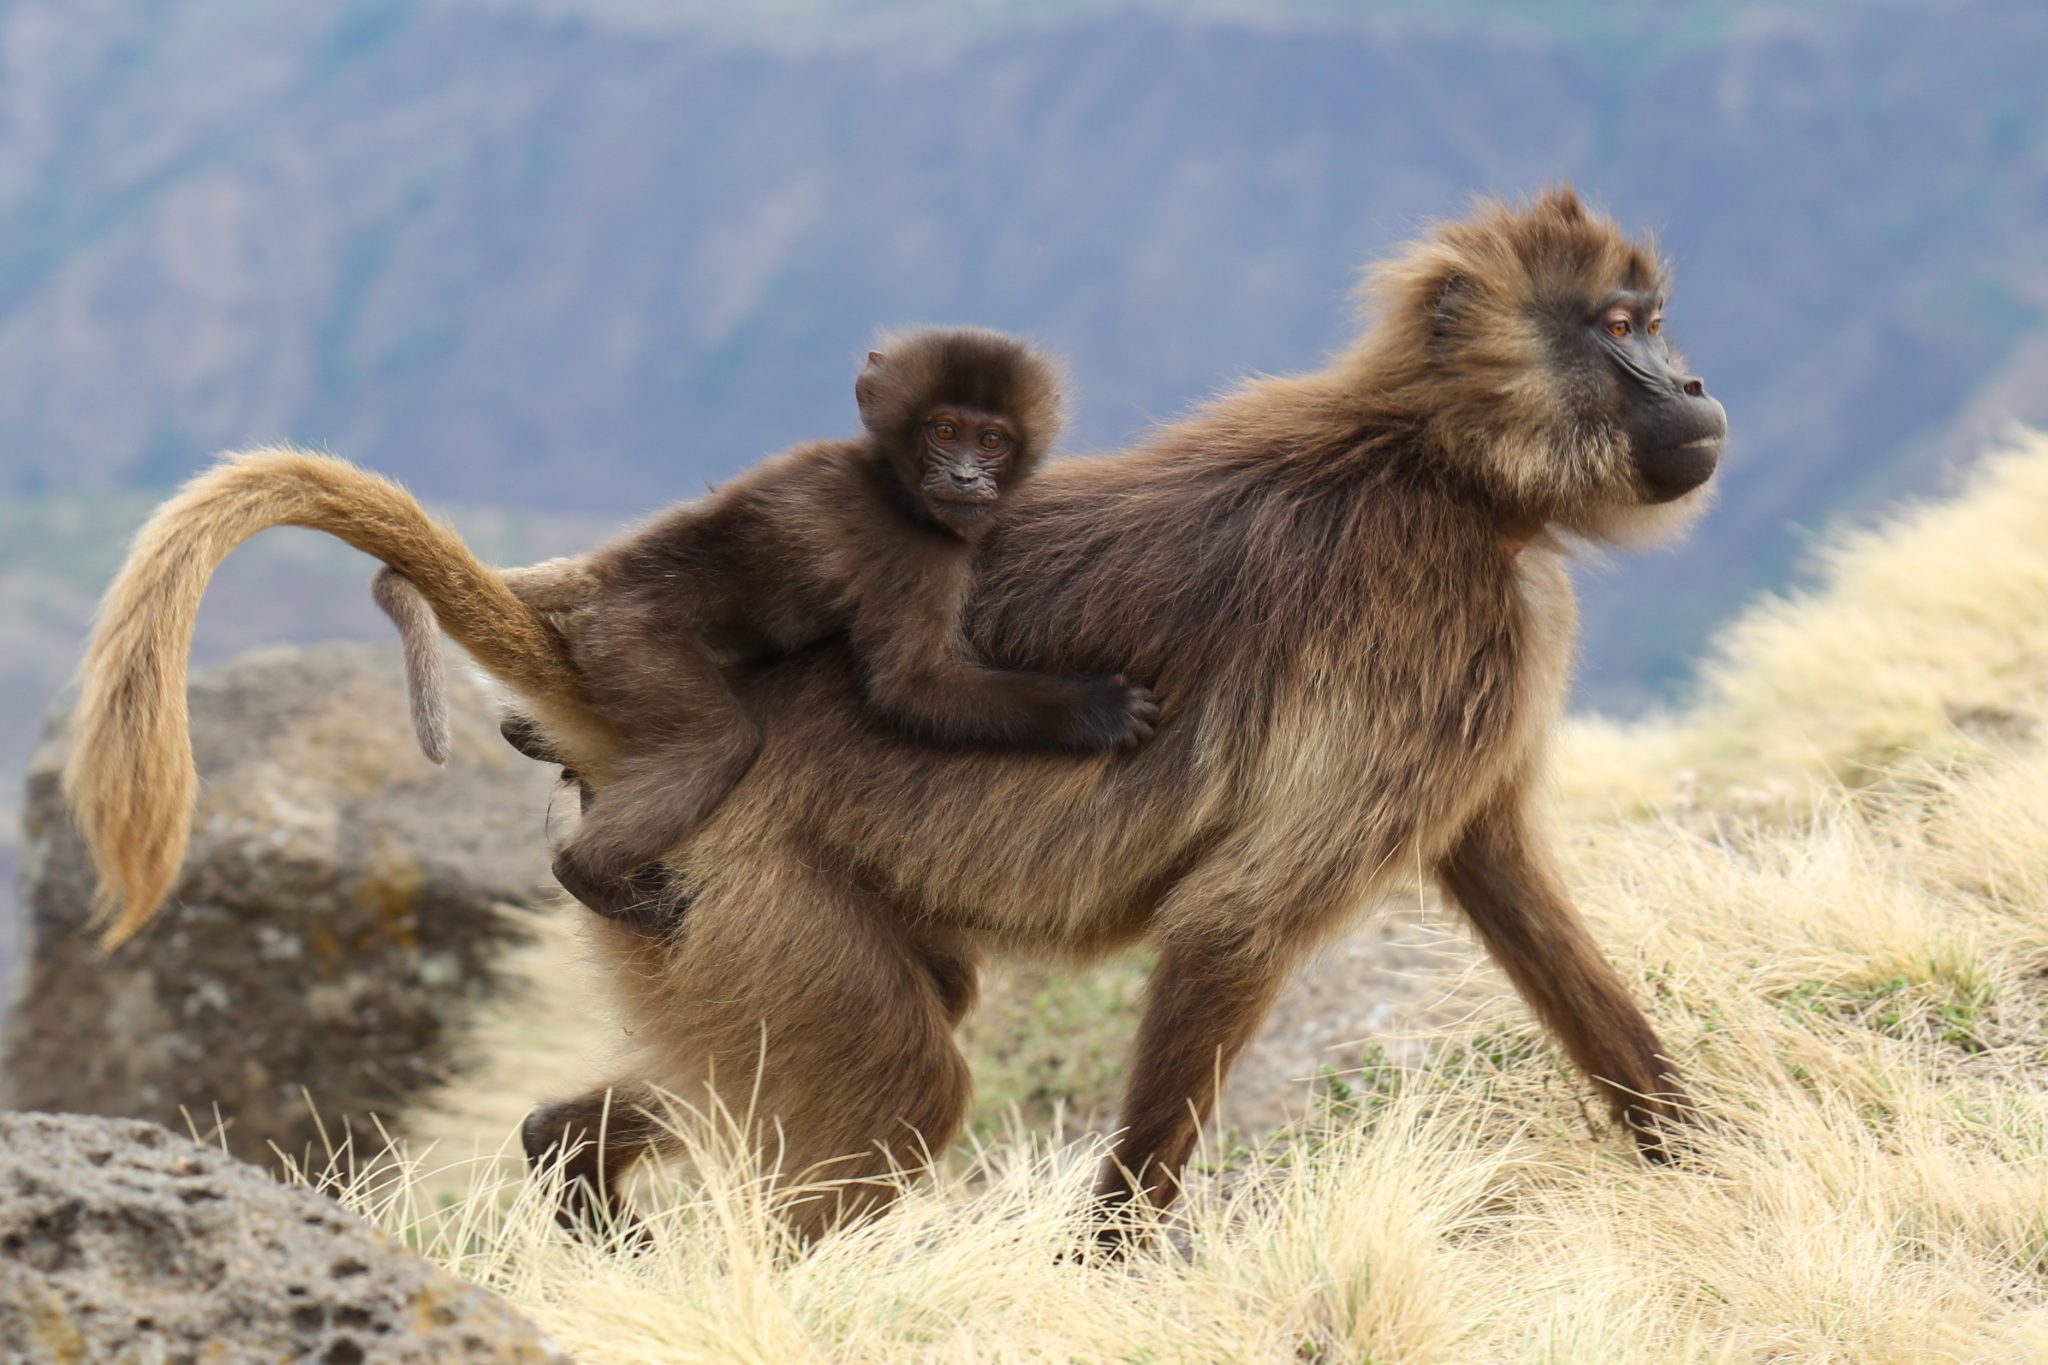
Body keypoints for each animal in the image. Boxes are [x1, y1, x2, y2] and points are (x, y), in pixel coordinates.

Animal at [373, 327, 1161, 925]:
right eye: (945, 431)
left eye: (991, 440)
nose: (966, 477)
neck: (889, 482)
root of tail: (608, 573)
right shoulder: (917, 553)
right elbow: (913, 689)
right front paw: (1092, 708)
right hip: (632, 635)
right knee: (716, 744)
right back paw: (585, 871)